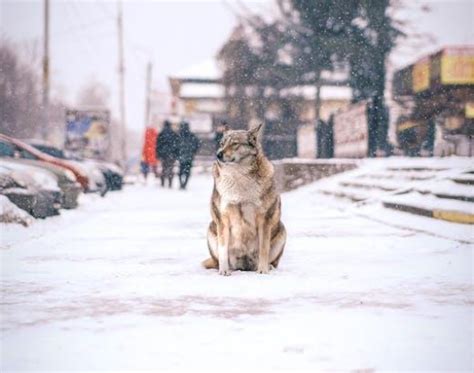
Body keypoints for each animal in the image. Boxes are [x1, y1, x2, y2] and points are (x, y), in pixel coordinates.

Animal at [203, 124, 286, 274]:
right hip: (211, 229)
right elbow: (223, 250)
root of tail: (244, 266)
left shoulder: (265, 218)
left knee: (273, 261)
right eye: (222, 144)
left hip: (282, 230)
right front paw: (224, 271)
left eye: (235, 144)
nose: (218, 154)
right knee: (219, 260)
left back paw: (268, 267)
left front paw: (263, 270)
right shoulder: (223, 218)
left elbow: (264, 249)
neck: (238, 177)